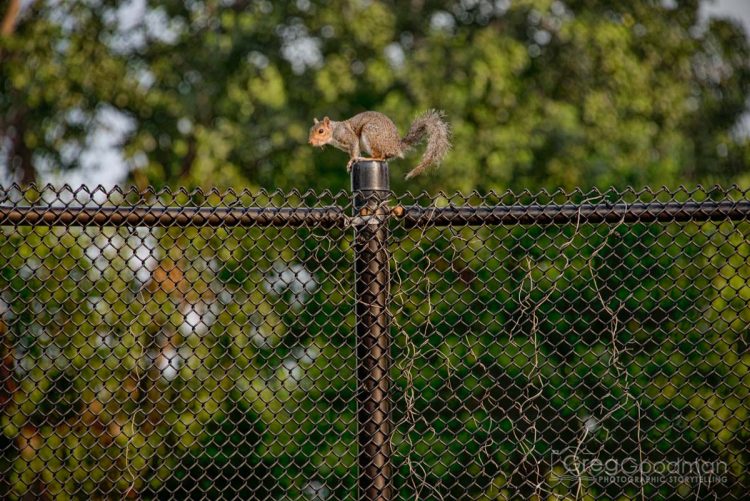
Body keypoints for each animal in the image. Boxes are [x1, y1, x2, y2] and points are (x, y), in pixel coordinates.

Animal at [306, 110, 450, 179]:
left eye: (321, 131)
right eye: (311, 129)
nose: (310, 142)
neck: (333, 132)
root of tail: (396, 146)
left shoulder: (348, 137)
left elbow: (354, 148)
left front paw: (352, 160)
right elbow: (355, 150)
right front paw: (353, 159)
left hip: (370, 134)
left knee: (379, 157)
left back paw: (365, 158)